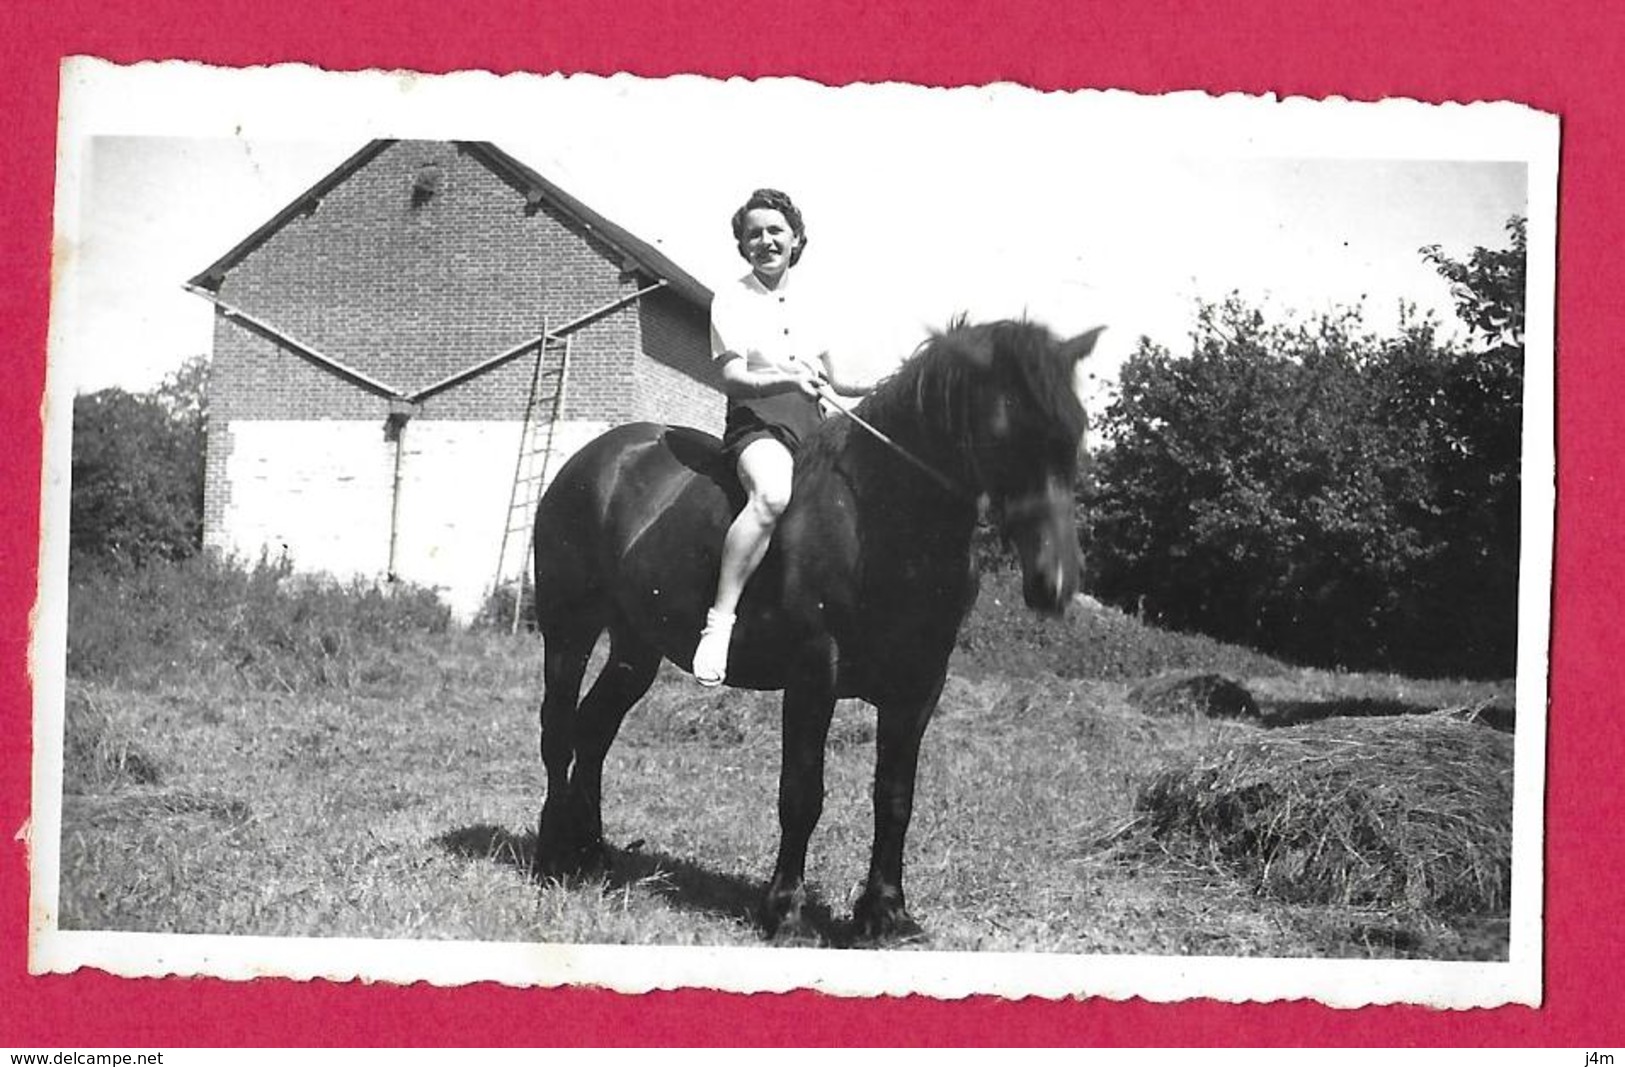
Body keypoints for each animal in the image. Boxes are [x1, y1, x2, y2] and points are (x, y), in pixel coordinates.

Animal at [533, 318, 1105, 941]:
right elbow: (803, 792)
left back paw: (591, 853)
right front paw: (784, 910)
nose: (1055, 583)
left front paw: (886, 913)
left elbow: (895, 797)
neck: (881, 518)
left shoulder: (920, 687)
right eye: (1004, 431)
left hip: (636, 646)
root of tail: (600, 455)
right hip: (568, 629)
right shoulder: (813, 674)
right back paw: (552, 855)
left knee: (594, 730)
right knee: (558, 728)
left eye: (1076, 430)